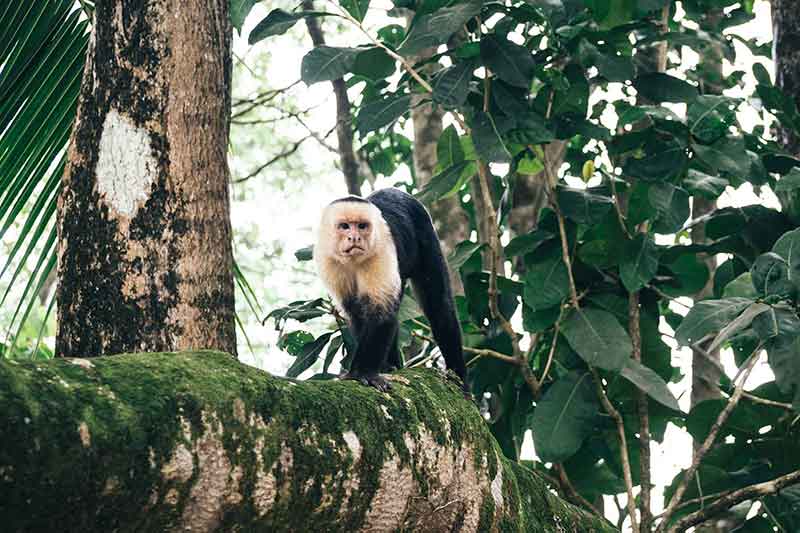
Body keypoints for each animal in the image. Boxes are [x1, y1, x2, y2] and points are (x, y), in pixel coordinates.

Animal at [315, 188, 468, 394]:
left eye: (362, 226)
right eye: (344, 226)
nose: (354, 238)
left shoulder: (381, 250)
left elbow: (381, 312)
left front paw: (363, 373)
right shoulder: (328, 260)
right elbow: (356, 313)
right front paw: (375, 369)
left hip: (425, 230)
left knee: (439, 306)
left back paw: (457, 375)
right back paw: (390, 366)